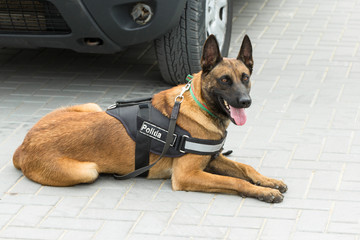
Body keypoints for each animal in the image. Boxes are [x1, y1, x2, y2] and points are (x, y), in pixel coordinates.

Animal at [13, 34, 286, 202]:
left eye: (245, 78)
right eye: (225, 80)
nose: (246, 102)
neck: (200, 105)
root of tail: (24, 145)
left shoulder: (212, 160)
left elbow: (246, 168)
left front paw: (268, 181)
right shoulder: (188, 175)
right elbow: (234, 182)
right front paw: (263, 192)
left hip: (91, 107)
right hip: (88, 171)